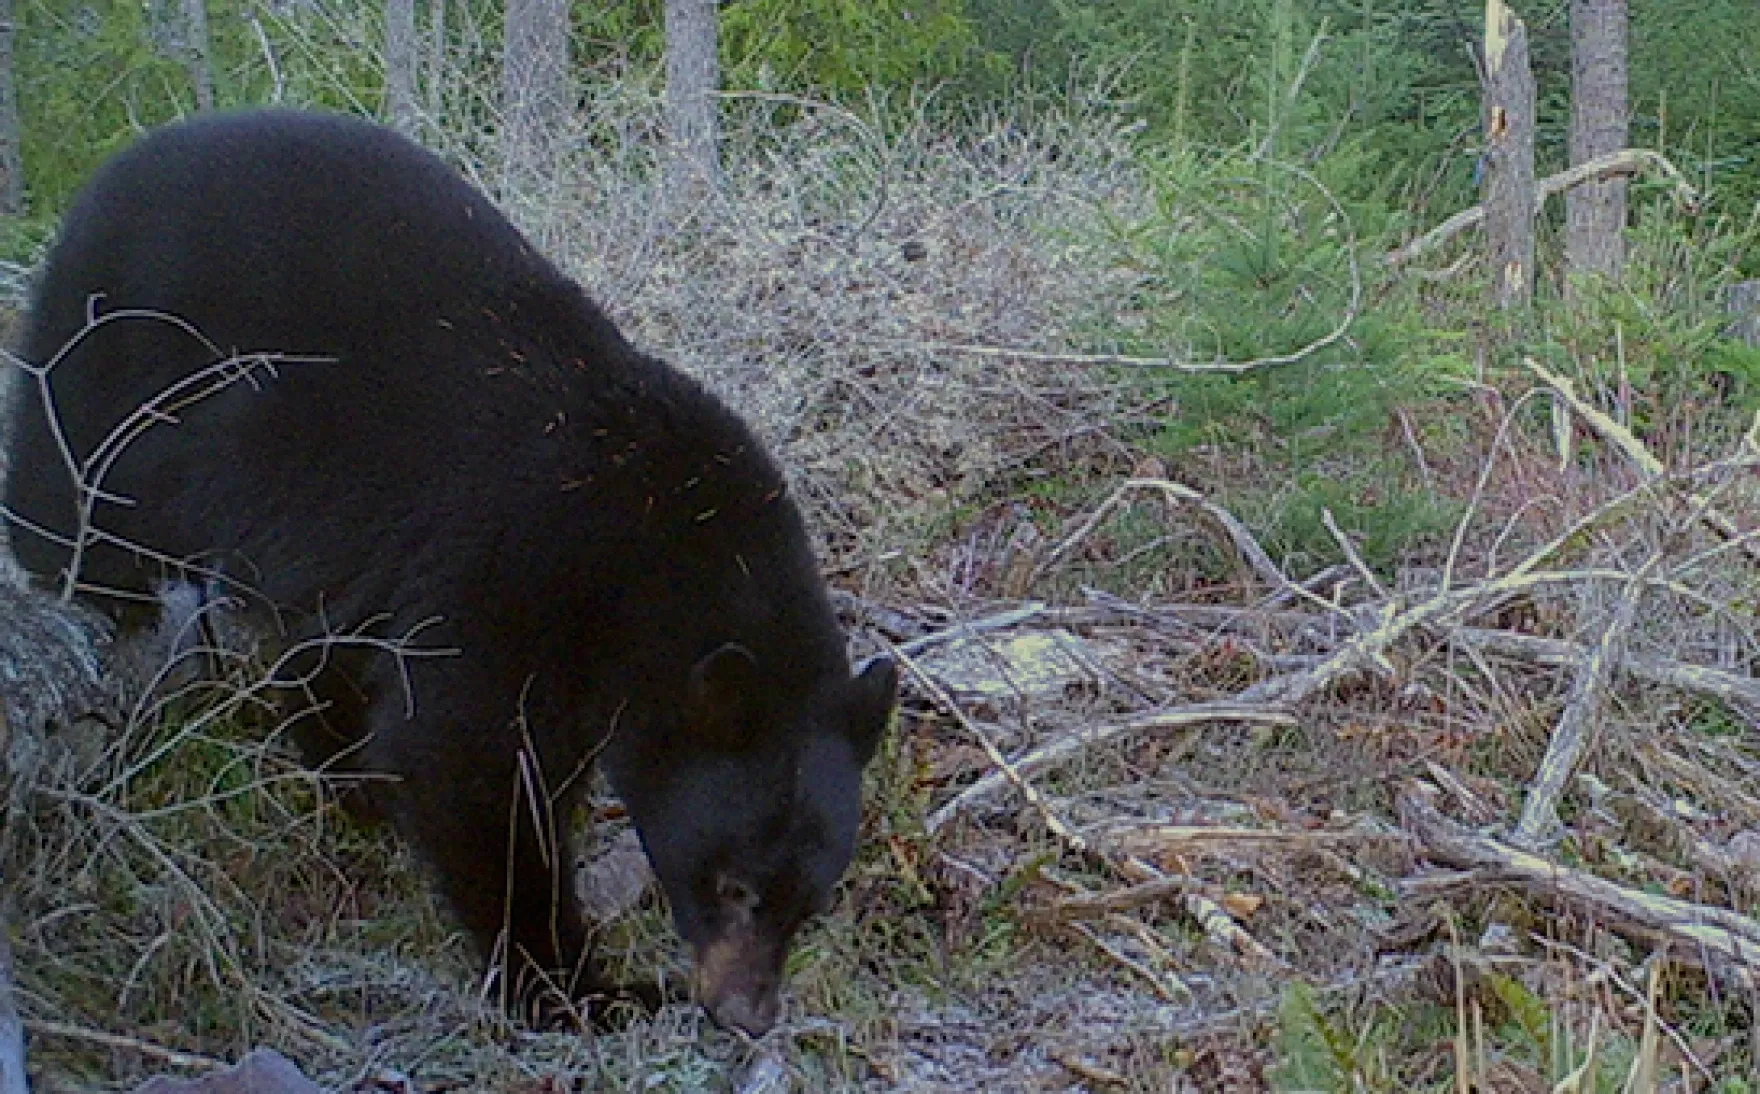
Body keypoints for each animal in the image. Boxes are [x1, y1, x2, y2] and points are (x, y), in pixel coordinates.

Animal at [3, 105, 894, 1034]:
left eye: (808, 901)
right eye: (734, 885)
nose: (748, 1014)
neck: (654, 541)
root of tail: (112, 170)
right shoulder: (514, 566)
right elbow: (468, 760)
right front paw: (574, 988)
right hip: (125, 343)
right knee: (72, 473)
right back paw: (97, 578)